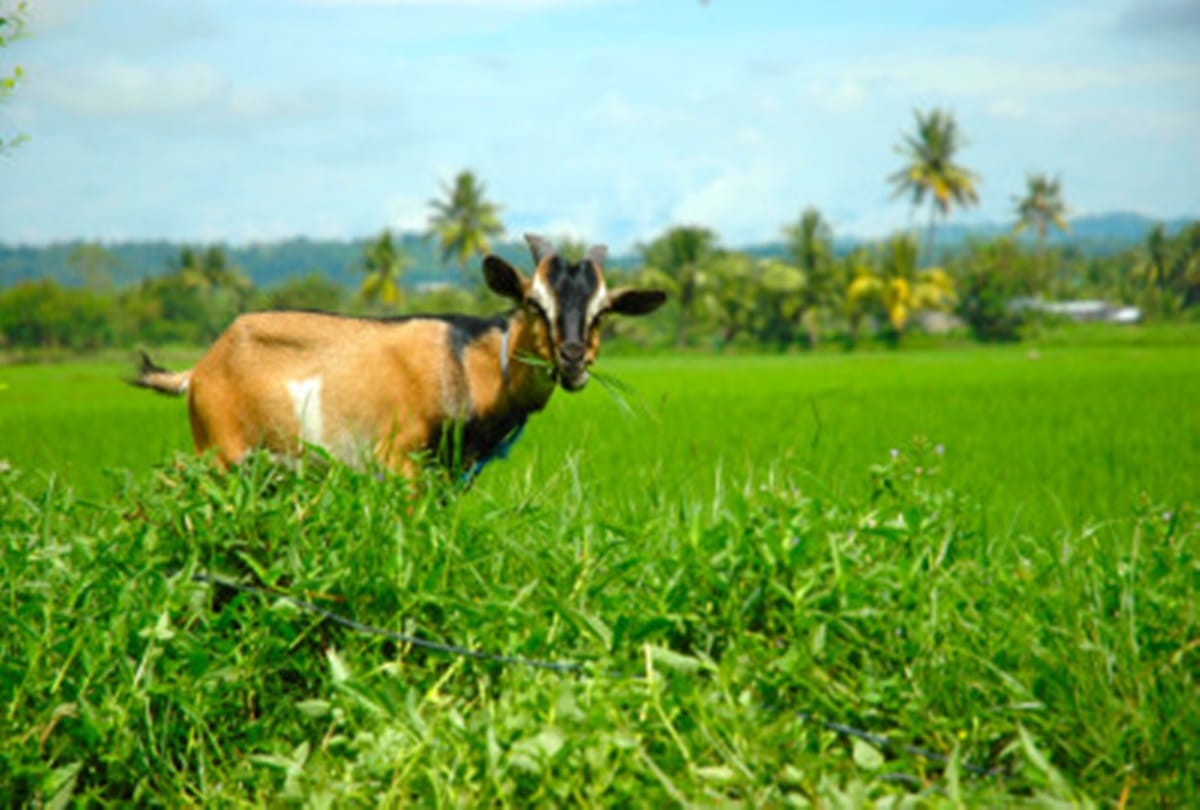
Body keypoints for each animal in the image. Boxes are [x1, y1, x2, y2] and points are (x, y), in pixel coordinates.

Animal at [131, 233, 667, 482]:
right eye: (534, 303)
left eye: (602, 313)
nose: (573, 358)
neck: (468, 363)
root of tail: (199, 370)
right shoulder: (399, 462)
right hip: (221, 452)